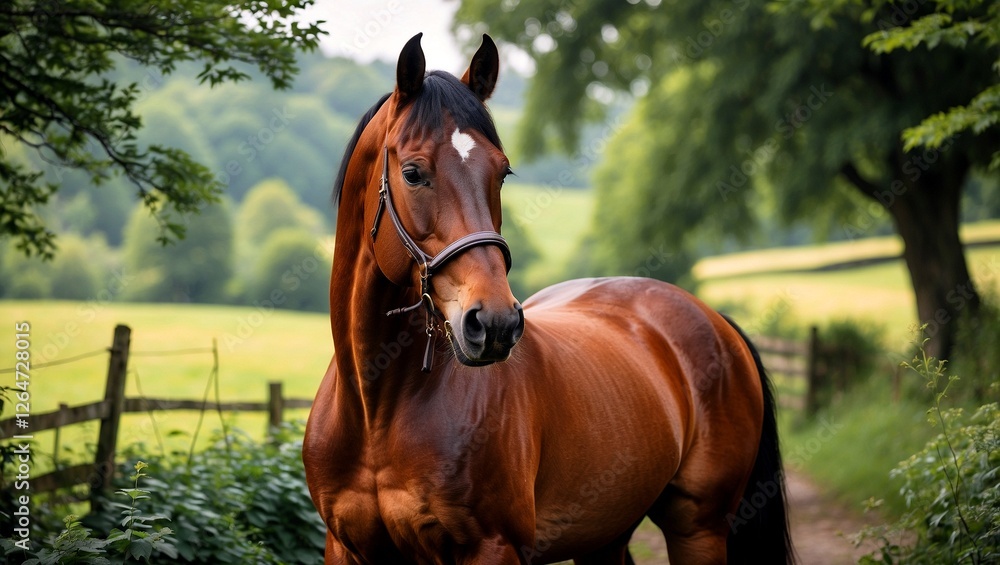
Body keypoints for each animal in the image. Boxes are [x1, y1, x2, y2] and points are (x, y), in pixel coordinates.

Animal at [303, 33, 795, 564]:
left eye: (502, 173)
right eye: (412, 173)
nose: (495, 324)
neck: (377, 408)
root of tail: (716, 322)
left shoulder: (493, 547)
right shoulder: (344, 548)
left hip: (698, 531)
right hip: (606, 537)